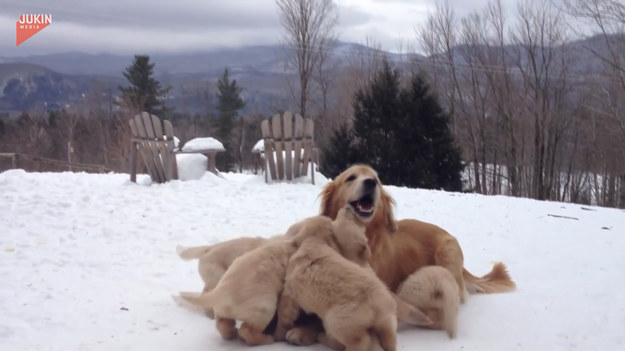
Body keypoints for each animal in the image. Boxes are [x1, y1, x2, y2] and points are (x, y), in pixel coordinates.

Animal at [276, 209, 432, 351]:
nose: (347, 208)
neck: (314, 243)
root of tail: (379, 308)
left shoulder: (292, 285)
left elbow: (286, 307)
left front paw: (280, 331)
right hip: (387, 320)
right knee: (389, 338)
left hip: (337, 319)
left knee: (358, 340)